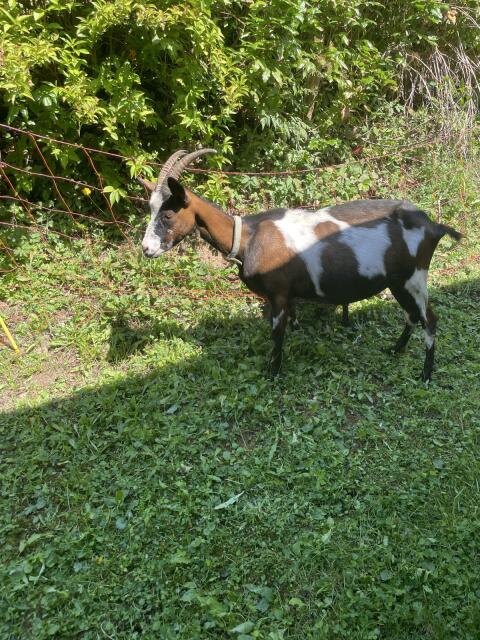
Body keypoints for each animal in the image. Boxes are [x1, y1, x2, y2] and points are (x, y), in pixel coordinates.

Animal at [139, 149, 462, 381]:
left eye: (167, 215)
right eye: (150, 210)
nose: (146, 249)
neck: (248, 237)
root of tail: (433, 225)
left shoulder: (278, 293)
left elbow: (276, 334)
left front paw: (272, 373)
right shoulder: (287, 294)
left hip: (415, 277)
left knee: (429, 319)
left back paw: (425, 375)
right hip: (397, 281)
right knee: (411, 316)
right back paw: (395, 350)